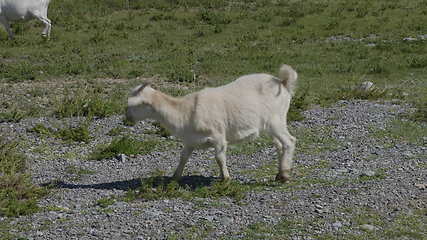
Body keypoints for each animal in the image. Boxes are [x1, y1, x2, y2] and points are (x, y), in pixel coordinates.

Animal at [126, 65, 298, 182]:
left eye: (135, 104)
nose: (126, 118)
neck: (185, 111)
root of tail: (283, 82)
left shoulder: (218, 136)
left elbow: (219, 158)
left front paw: (225, 179)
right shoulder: (190, 141)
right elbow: (183, 157)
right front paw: (175, 177)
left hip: (276, 120)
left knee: (289, 141)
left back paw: (284, 175)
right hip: (270, 125)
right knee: (279, 145)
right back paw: (279, 174)